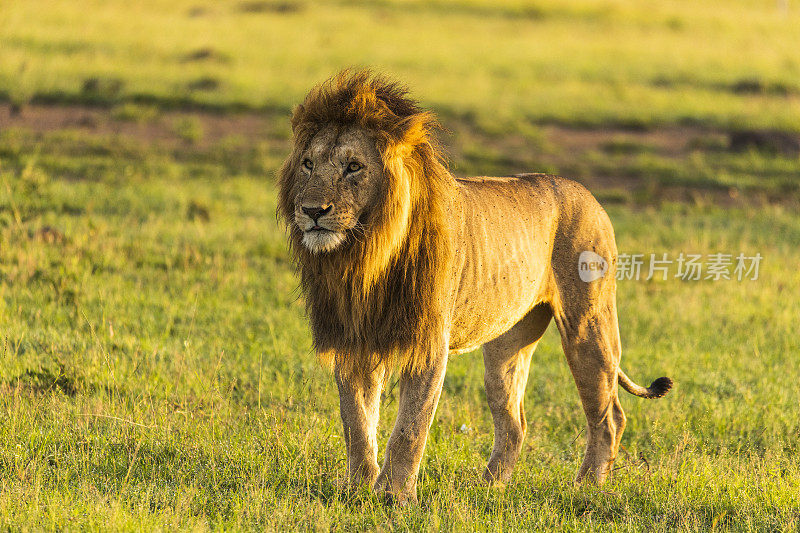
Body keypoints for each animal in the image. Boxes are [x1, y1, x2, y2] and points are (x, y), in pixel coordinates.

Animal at [278, 70, 672, 502]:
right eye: (308, 165)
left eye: (353, 167)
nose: (312, 211)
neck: (363, 257)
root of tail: (589, 195)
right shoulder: (353, 339)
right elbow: (357, 422)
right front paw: (357, 489)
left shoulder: (428, 344)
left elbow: (409, 428)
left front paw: (394, 497)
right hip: (507, 345)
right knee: (515, 422)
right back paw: (489, 487)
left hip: (587, 324)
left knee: (609, 415)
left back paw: (585, 487)